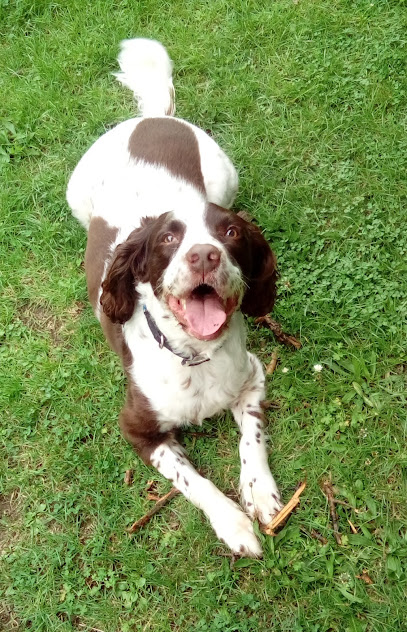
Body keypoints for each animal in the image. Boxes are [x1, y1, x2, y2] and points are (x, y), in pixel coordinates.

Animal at [67, 38, 284, 556]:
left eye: (230, 232)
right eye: (168, 238)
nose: (205, 255)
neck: (195, 357)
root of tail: (152, 118)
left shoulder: (253, 376)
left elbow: (252, 436)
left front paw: (260, 493)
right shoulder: (137, 429)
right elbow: (194, 481)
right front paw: (233, 524)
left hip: (226, 174)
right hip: (75, 194)